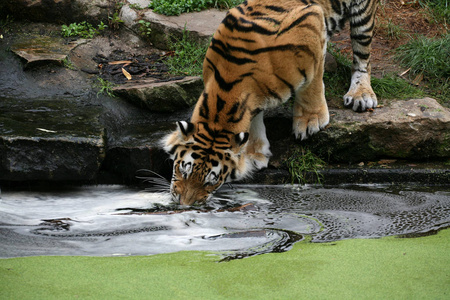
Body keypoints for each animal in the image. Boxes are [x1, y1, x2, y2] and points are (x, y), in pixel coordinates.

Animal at [163, 0, 378, 204]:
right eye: (183, 171)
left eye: (211, 181)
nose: (184, 204)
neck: (226, 90)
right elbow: (254, 118)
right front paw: (255, 154)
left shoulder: (313, 24)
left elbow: (313, 83)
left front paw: (310, 121)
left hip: (362, 17)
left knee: (363, 58)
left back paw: (361, 94)